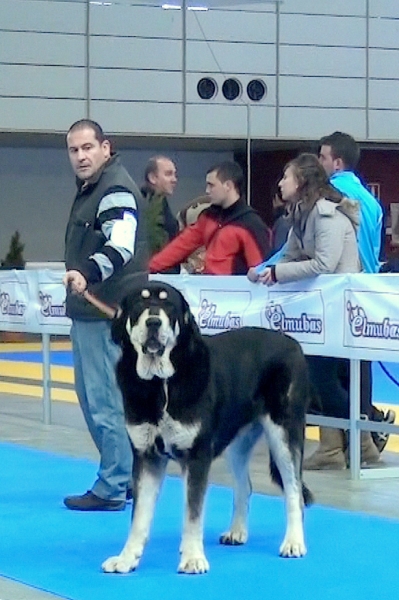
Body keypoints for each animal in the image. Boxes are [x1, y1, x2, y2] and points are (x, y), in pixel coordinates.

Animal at [101, 282, 314, 576]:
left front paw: (192, 558)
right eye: (139, 304)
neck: (161, 383)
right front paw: (126, 558)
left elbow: (193, 513)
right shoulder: (147, 456)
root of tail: (294, 344)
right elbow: (139, 516)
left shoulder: (197, 455)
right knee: (245, 486)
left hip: (284, 432)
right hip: (237, 442)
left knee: (294, 491)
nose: (154, 322)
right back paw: (237, 531)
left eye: (168, 304)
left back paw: (293, 542)